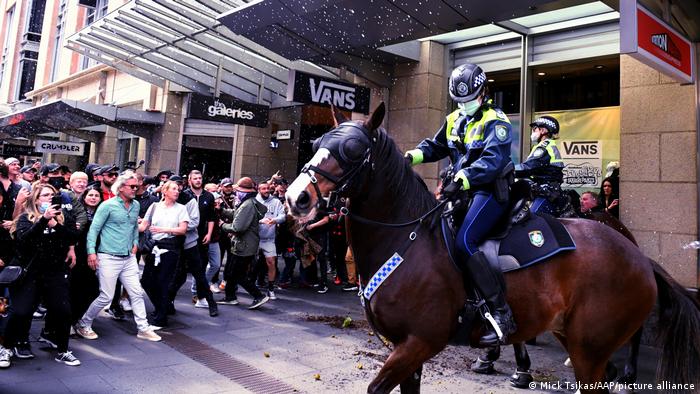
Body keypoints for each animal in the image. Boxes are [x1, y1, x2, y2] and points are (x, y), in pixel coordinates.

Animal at [286, 103, 700, 392]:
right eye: (318, 143)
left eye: (353, 149)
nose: (296, 198)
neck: (408, 241)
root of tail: (640, 257)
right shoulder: (406, 351)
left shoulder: (419, 342)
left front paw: (510, 366)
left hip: (590, 348)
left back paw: (627, 372)